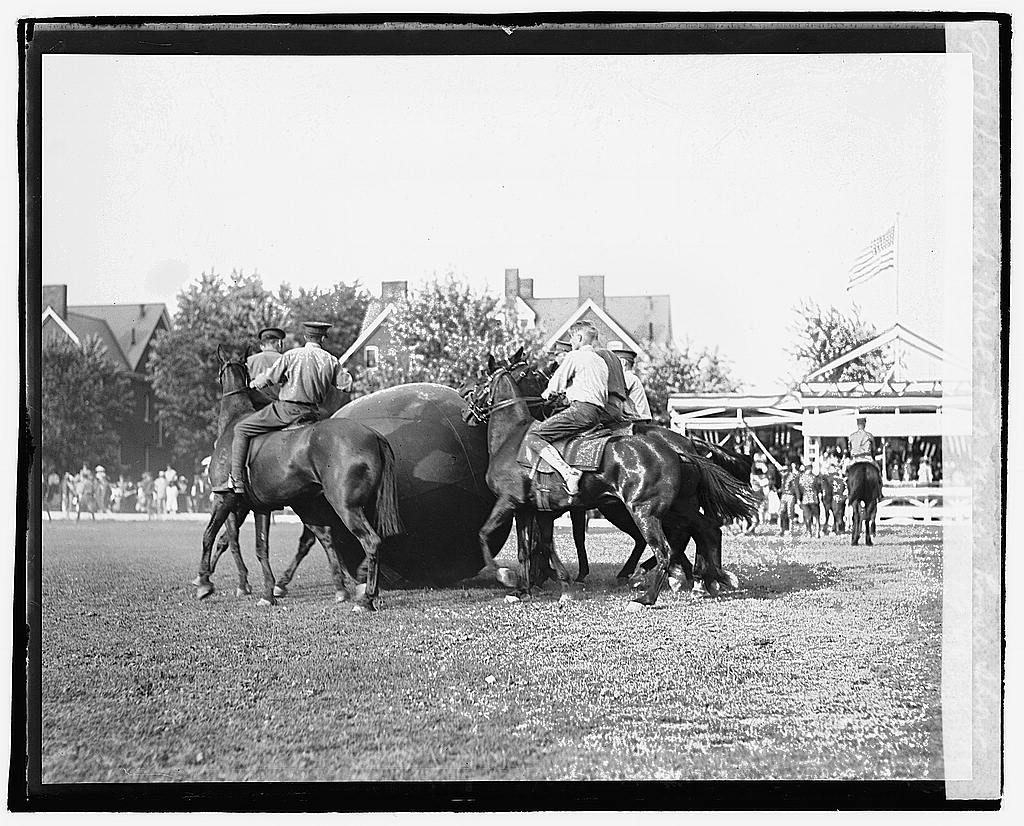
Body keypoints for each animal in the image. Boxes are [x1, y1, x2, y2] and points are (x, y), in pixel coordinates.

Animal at [193, 350, 401, 614]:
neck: (233, 423)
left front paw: (204, 582)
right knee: (339, 539)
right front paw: (266, 592)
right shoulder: (260, 508)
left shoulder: (224, 498)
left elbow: (210, 535)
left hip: (345, 507)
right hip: (344, 506)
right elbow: (260, 547)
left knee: (370, 541)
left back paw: (365, 598)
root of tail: (372, 434)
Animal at [464, 362, 761, 605]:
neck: (512, 438)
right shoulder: (531, 509)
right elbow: (532, 548)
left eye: (478, 384)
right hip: (679, 507)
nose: (466, 411)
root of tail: (679, 449)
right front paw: (530, 588)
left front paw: (507, 577)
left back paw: (648, 594)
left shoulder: (510, 502)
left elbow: (484, 534)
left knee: (666, 548)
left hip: (642, 512)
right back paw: (711, 578)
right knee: (707, 530)